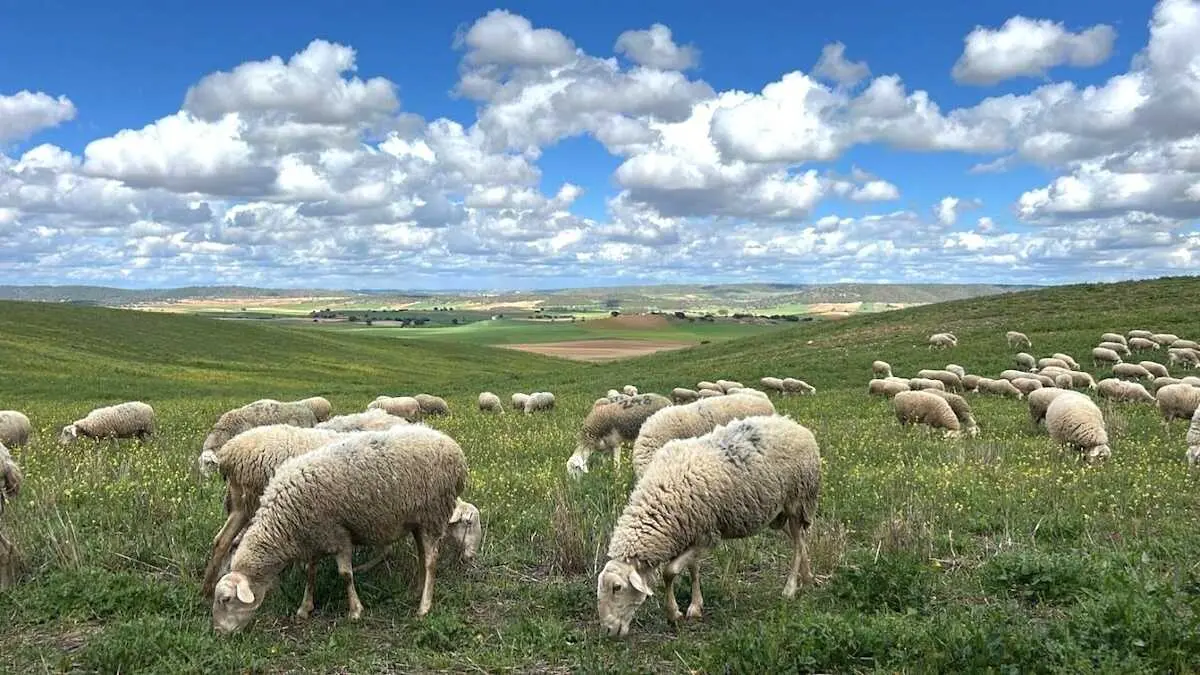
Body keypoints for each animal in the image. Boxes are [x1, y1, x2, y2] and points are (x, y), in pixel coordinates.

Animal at [211, 426, 468, 632]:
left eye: (226, 599)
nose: (219, 632)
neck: (283, 521)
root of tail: (453, 446)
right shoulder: (313, 536)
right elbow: (310, 574)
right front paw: (305, 608)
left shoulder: (339, 534)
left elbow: (345, 575)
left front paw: (355, 611)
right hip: (417, 520)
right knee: (423, 556)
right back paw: (415, 591)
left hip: (433, 515)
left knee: (431, 561)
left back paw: (424, 607)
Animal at [597, 414, 820, 637]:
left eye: (617, 587)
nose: (607, 630)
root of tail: (793, 424)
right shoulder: (693, 530)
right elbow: (693, 569)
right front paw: (696, 605)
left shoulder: (708, 536)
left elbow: (670, 571)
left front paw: (673, 613)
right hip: (777, 514)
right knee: (800, 539)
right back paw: (807, 577)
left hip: (796, 500)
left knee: (798, 544)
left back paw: (790, 588)